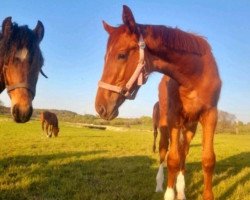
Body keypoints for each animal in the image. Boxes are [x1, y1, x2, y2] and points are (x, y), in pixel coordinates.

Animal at [94, 5, 222, 199]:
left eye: (121, 55)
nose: (100, 107)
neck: (195, 76)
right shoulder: (174, 117)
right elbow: (172, 159)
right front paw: (169, 193)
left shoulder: (210, 115)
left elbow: (207, 160)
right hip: (164, 125)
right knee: (163, 151)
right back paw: (160, 184)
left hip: (190, 127)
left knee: (183, 152)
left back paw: (181, 191)